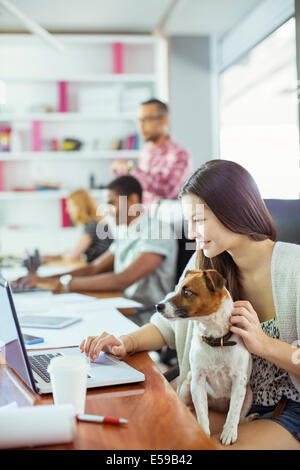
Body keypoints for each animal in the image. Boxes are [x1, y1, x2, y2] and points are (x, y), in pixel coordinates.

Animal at [157, 270, 253, 446]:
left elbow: (234, 412)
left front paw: (229, 432)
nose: (158, 306)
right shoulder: (198, 381)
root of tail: (218, 406)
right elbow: (202, 413)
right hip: (187, 386)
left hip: (248, 393)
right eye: (178, 288)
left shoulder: (239, 382)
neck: (216, 340)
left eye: (187, 292)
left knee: (240, 416)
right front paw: (202, 433)